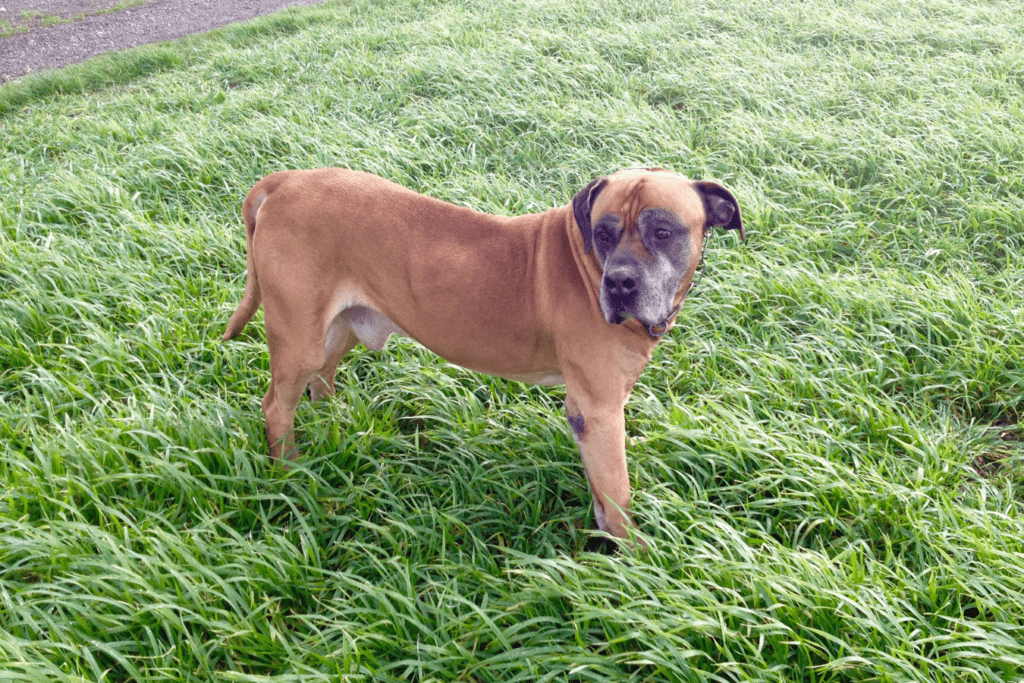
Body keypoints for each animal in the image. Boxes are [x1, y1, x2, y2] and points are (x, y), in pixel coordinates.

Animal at [222, 167, 745, 540]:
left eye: (663, 232)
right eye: (603, 233)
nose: (619, 283)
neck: (586, 265)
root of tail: (284, 181)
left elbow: (602, 490)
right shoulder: (598, 411)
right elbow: (617, 493)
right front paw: (630, 559)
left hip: (341, 326)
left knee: (321, 380)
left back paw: (335, 428)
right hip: (299, 337)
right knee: (277, 405)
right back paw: (290, 470)